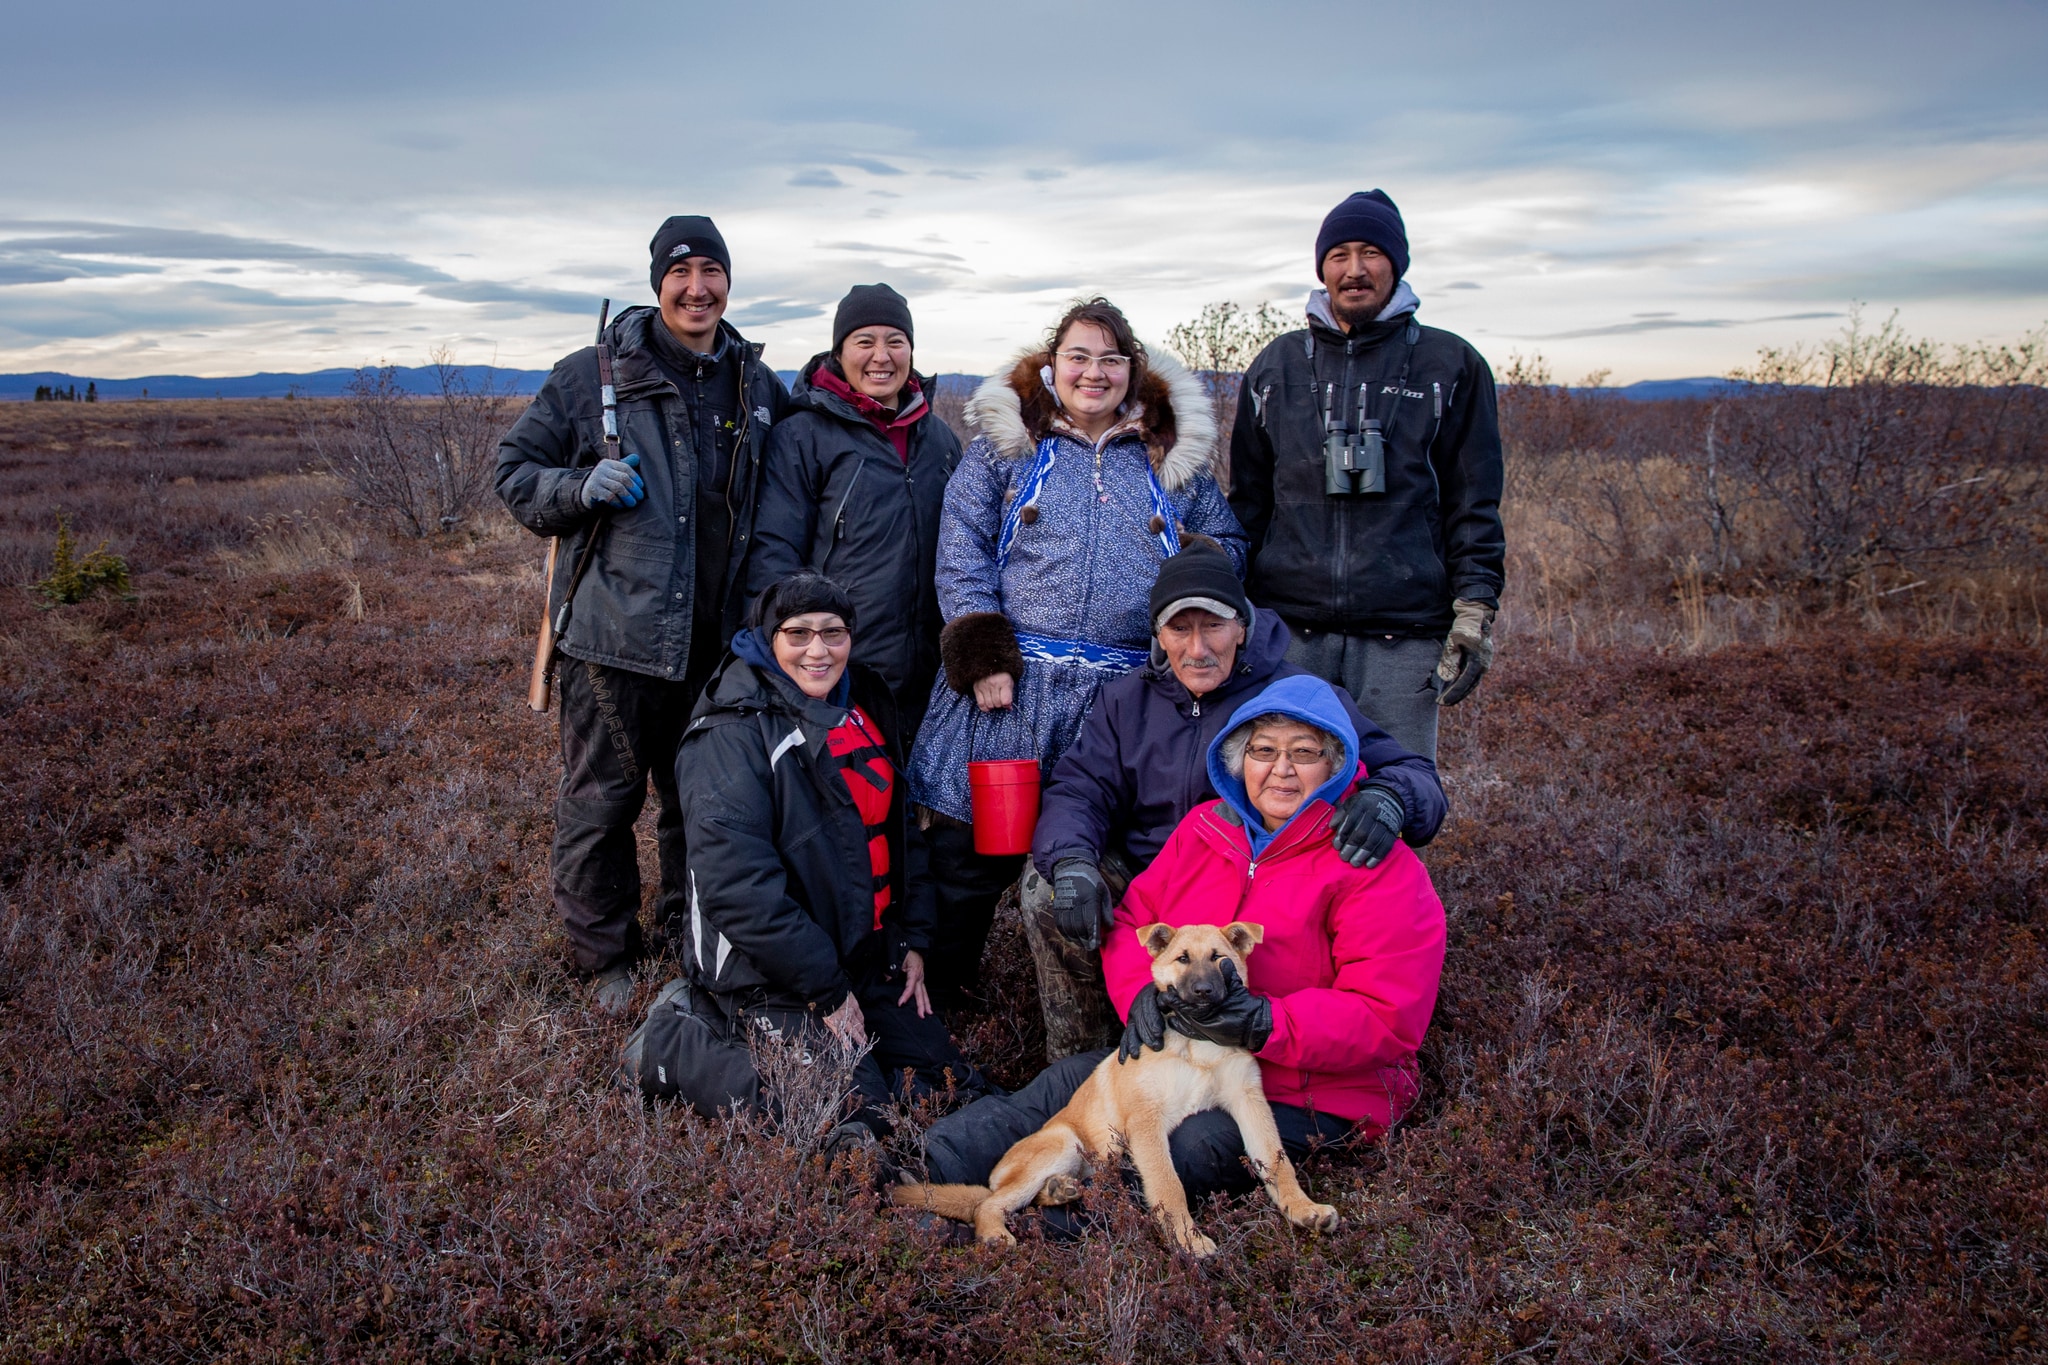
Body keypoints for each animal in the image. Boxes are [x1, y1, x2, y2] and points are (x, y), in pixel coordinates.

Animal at [888, 925, 1335, 1252]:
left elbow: (1278, 1164)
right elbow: (1168, 1185)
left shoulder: (1250, 1103)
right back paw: (995, 1232)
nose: (1204, 993)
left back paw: (1060, 1192)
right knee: (988, 1204)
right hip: (1062, 1144)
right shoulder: (1147, 1122)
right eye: (1182, 959)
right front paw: (1187, 1240)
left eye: (1219, 958)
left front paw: (1303, 1209)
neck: (1197, 1044)